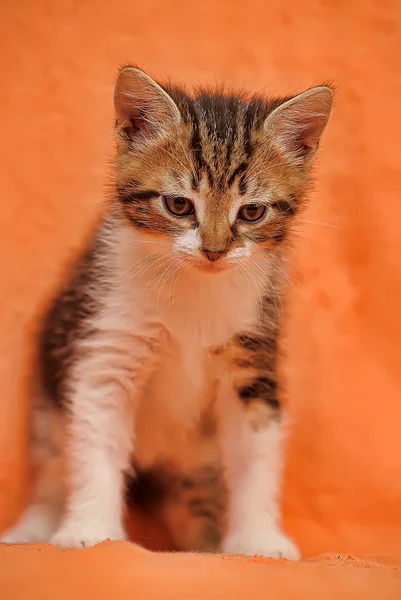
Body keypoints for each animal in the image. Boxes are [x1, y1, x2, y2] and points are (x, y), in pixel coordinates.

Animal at [0, 65, 332, 556]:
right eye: (178, 205)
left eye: (251, 212)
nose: (214, 250)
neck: (194, 288)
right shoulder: (106, 343)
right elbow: (95, 442)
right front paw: (90, 531)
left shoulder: (253, 358)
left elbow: (256, 451)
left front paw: (258, 539)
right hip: (48, 392)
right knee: (52, 466)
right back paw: (33, 528)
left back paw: (205, 544)